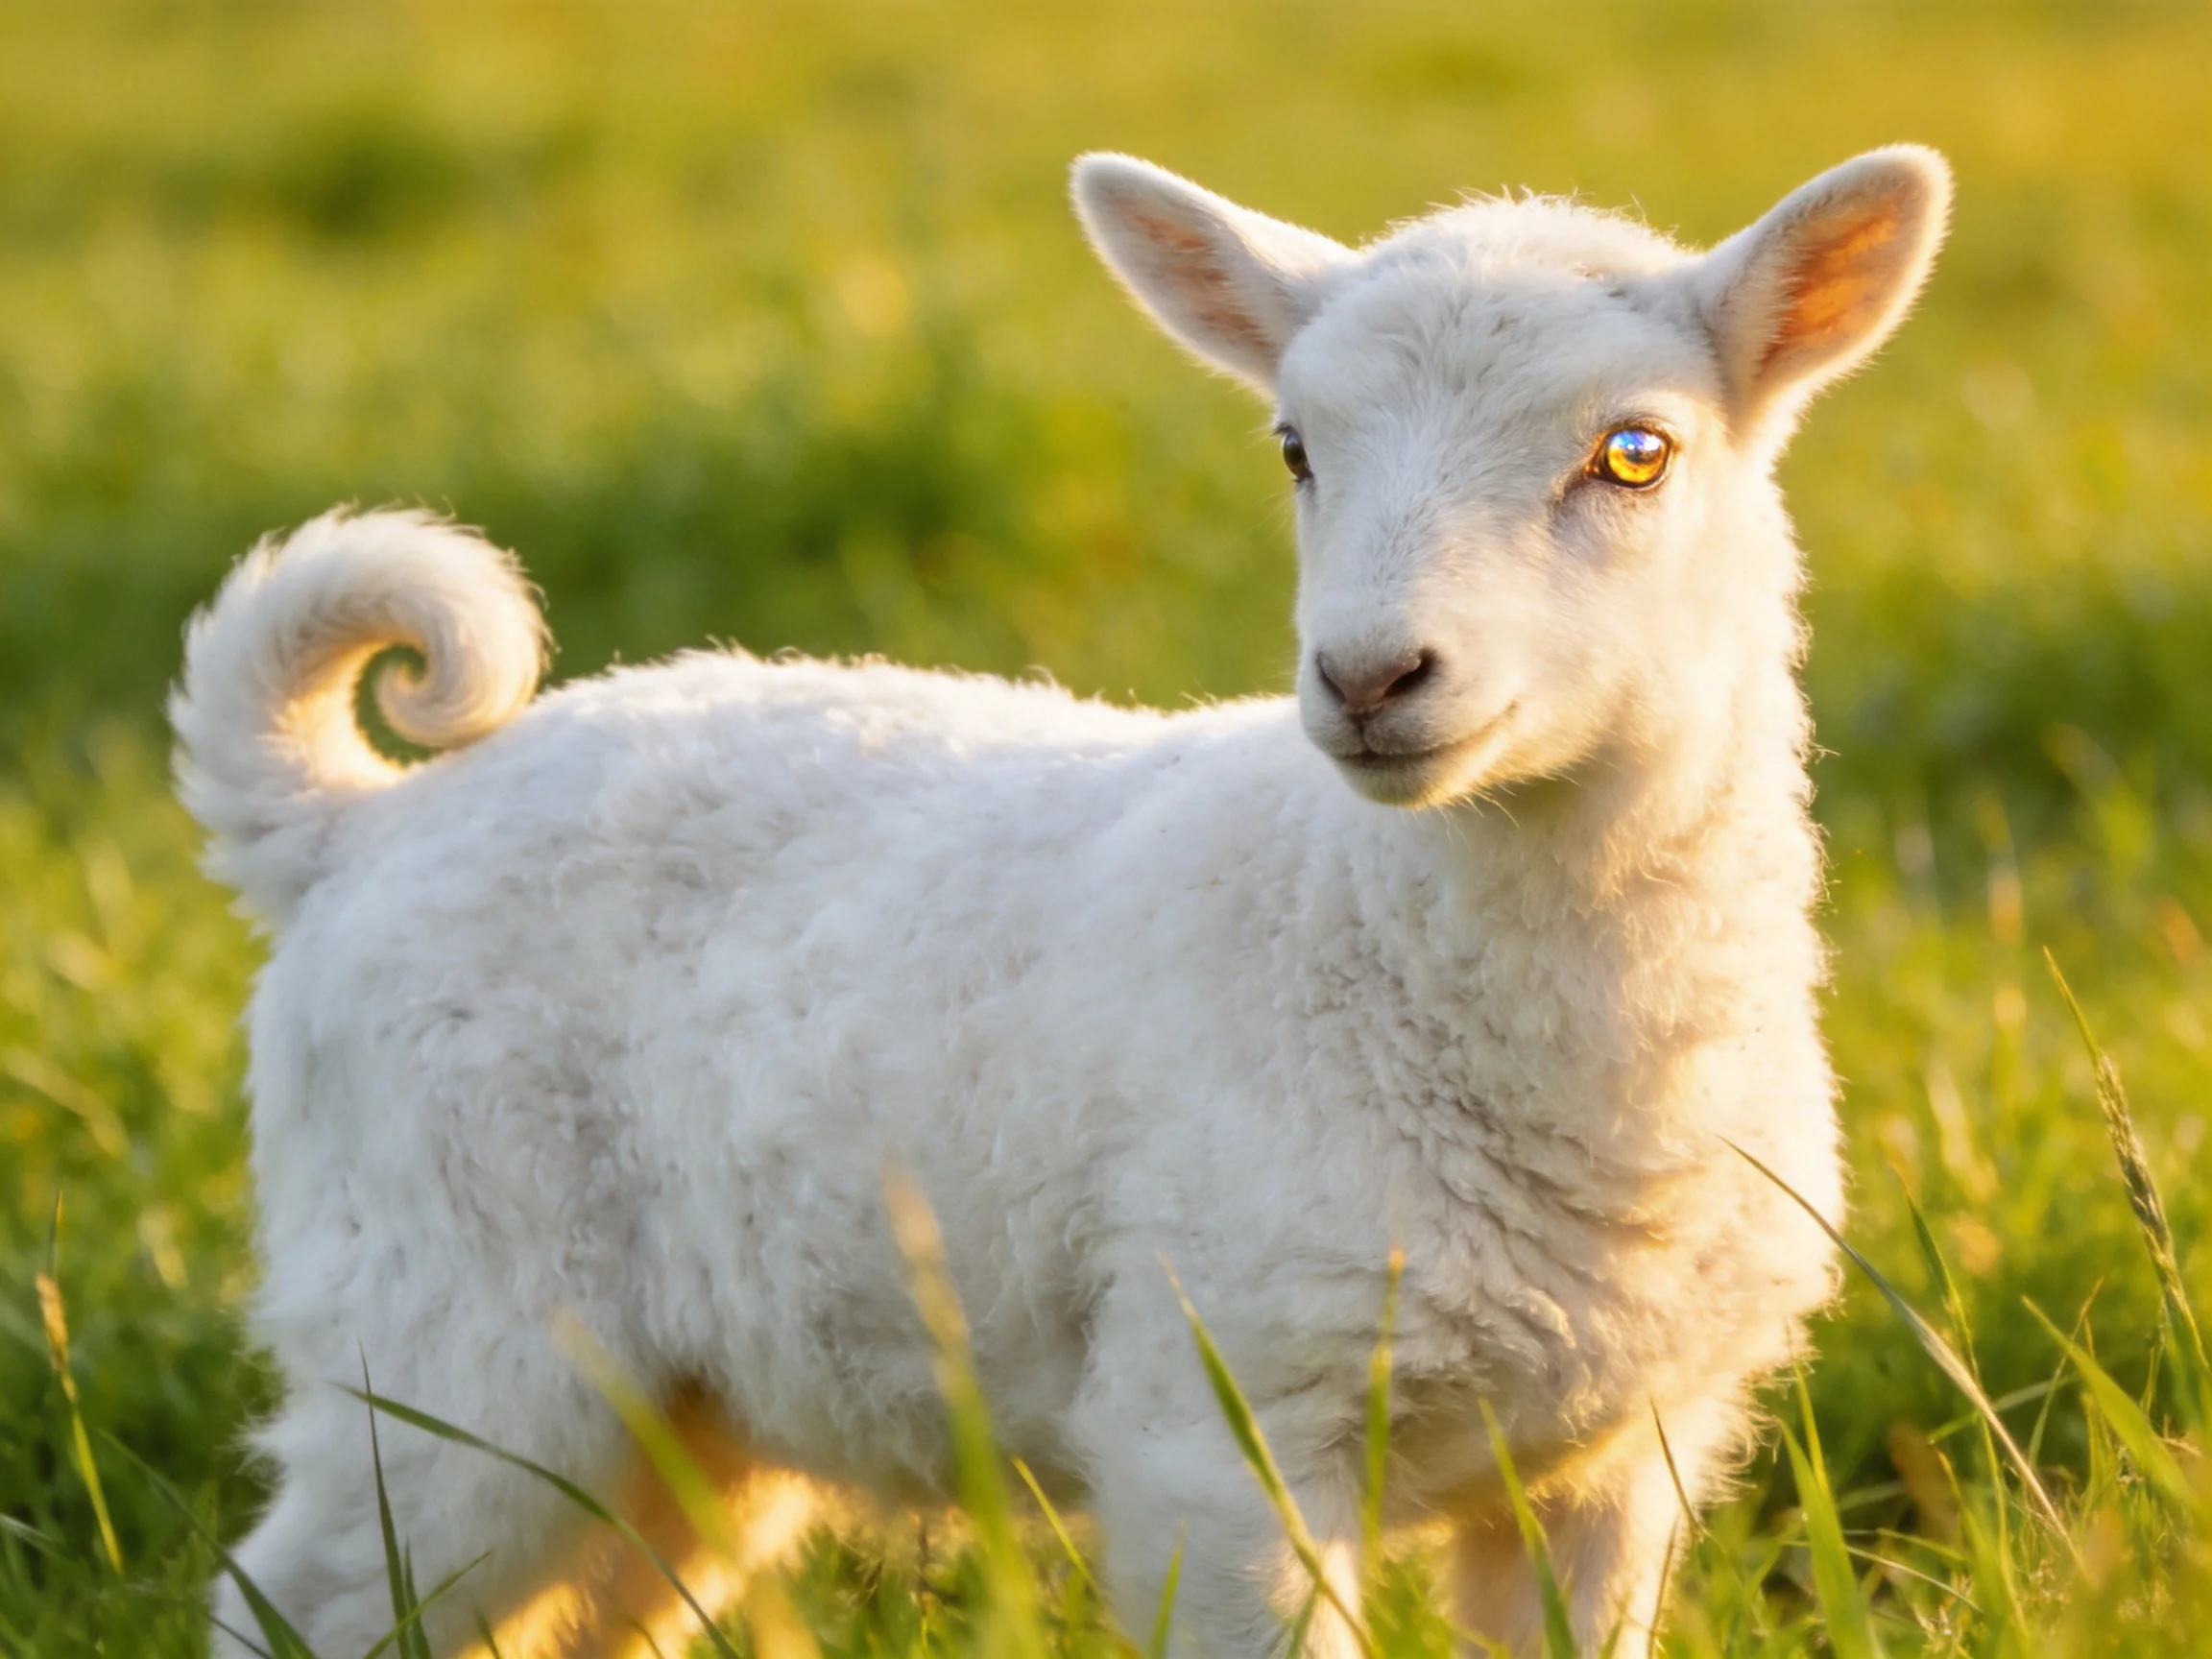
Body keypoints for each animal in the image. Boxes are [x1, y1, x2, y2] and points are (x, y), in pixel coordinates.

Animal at [174, 145, 1950, 1659]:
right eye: (1295, 449)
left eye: (1633, 452)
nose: (1369, 677)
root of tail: (356, 825)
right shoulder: (1218, 1420)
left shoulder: (1610, 1460)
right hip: (449, 1322)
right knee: (301, 1595)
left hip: (677, 1417)